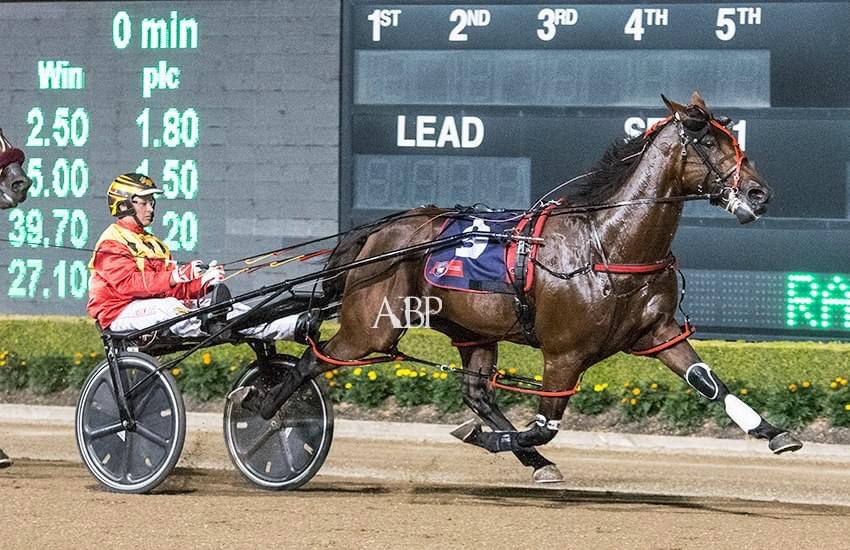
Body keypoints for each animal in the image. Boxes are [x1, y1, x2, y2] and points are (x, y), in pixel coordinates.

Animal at [248, 92, 802, 483]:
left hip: (469, 329)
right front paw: (493, 441)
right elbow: (546, 424)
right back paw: (265, 416)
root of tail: (381, 230)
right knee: (310, 361)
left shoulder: (658, 333)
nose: (760, 194)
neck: (607, 244)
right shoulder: (564, 354)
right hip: (372, 327)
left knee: (477, 392)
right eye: (706, 141)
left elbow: (709, 382)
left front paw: (775, 433)